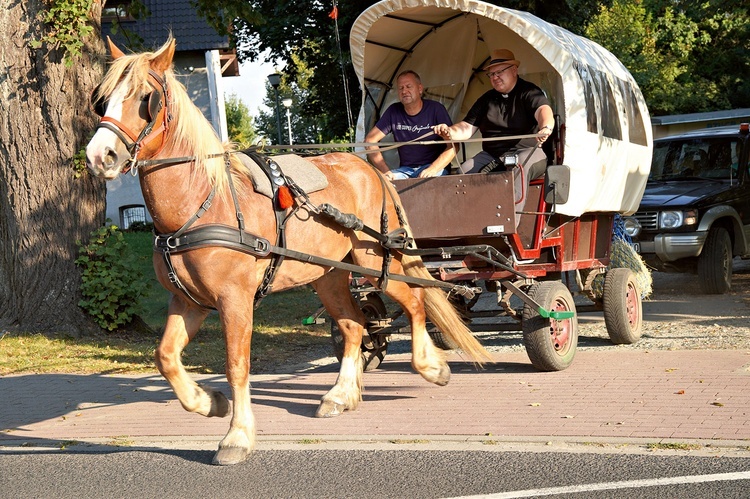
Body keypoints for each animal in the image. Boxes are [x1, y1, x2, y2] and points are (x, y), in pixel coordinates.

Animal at [85, 37, 494, 466]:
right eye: (102, 99)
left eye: (144, 98)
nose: (99, 156)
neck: (202, 202)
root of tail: (369, 168)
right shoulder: (188, 301)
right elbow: (165, 357)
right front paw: (208, 402)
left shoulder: (234, 300)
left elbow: (236, 365)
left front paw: (237, 435)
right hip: (330, 275)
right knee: (354, 324)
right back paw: (340, 394)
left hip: (376, 260)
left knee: (414, 302)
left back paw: (430, 366)